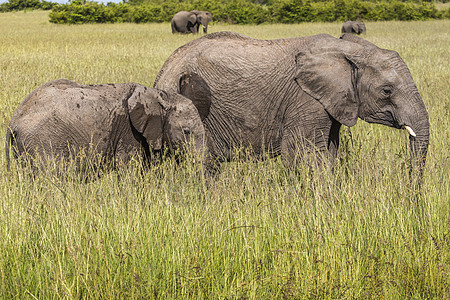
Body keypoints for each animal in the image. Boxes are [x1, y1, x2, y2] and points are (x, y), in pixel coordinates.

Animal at [6, 78, 207, 172]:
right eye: (186, 132)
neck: (161, 96)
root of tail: (14, 120)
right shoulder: (129, 132)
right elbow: (129, 170)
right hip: (42, 142)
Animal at [154, 31, 428, 180]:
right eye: (387, 91)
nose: (412, 199)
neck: (345, 49)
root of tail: (162, 72)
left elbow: (330, 152)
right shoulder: (305, 99)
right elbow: (302, 154)